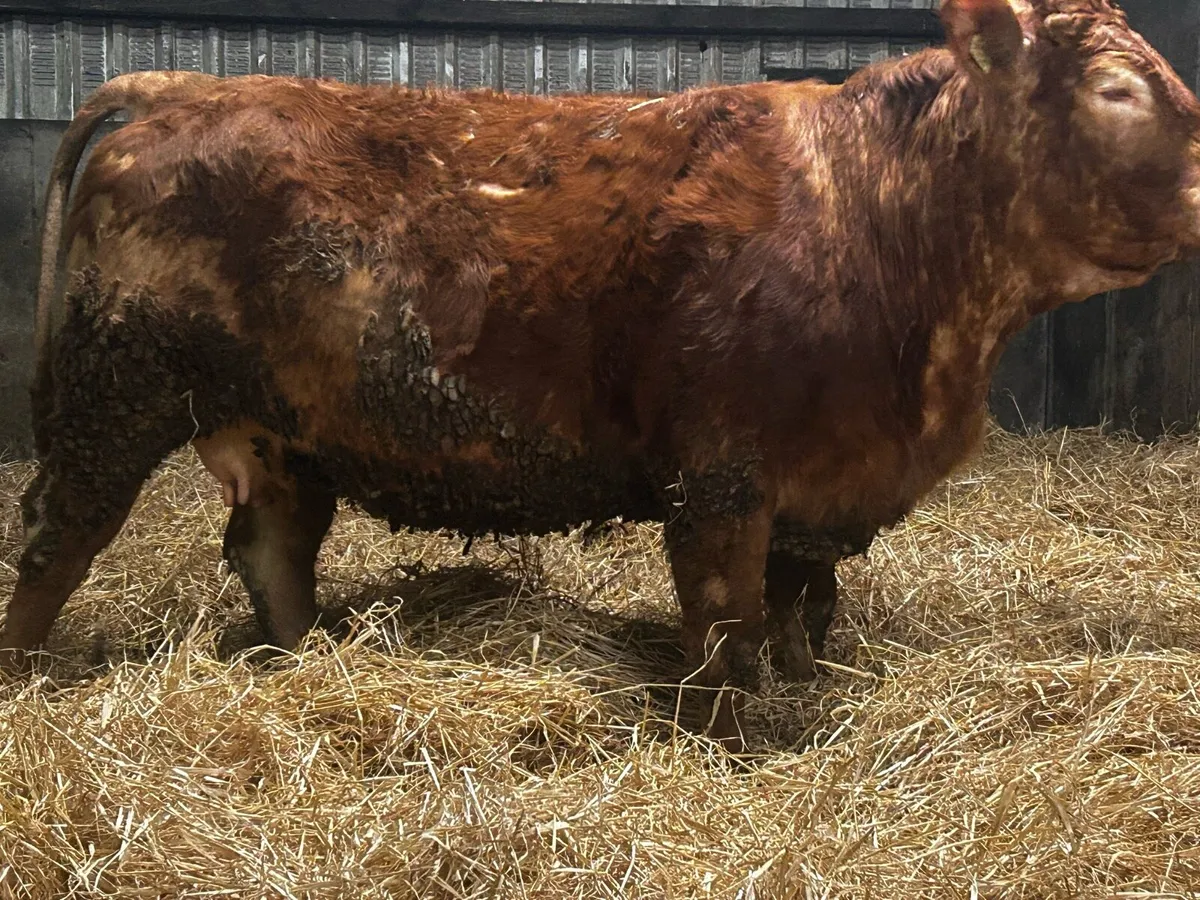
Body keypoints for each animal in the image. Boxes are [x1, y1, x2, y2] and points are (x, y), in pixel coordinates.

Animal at [2, 0, 1199, 751]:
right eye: (1116, 91)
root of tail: (182, 87)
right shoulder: (722, 475)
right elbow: (726, 620)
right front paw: (734, 736)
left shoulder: (822, 483)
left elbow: (806, 606)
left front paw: (805, 686)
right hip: (115, 393)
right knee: (58, 539)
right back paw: (26, 675)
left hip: (281, 426)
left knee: (270, 548)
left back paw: (308, 660)